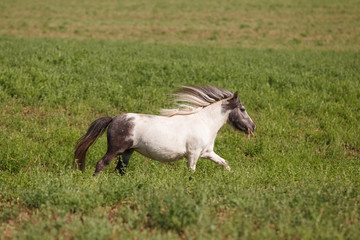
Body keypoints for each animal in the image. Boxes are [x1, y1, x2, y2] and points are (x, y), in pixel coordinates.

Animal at [74, 85, 256, 175]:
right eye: (243, 109)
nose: (252, 126)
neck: (204, 123)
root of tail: (114, 118)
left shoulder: (207, 153)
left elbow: (224, 163)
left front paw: (231, 176)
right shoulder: (193, 154)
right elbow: (191, 172)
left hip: (127, 152)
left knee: (120, 170)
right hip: (115, 149)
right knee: (101, 164)